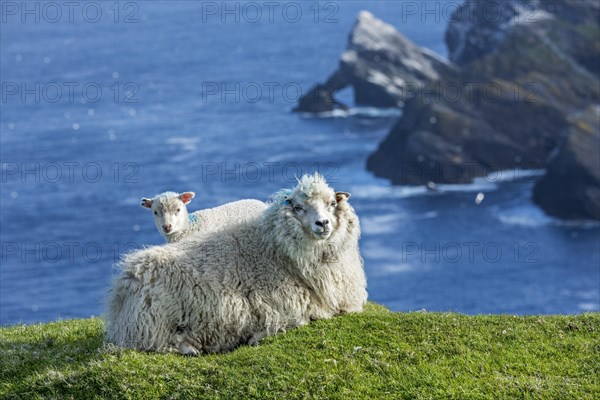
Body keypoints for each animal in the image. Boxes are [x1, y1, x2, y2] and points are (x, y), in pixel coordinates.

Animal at [106, 173, 368, 354]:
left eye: (332, 204)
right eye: (298, 207)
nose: (322, 223)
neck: (274, 249)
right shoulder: (285, 306)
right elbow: (300, 319)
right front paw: (259, 335)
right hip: (153, 322)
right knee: (159, 342)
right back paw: (191, 347)